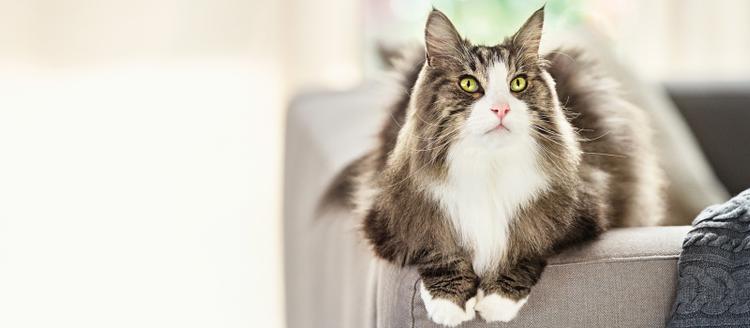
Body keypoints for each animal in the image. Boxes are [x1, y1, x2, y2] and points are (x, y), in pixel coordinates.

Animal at [322, 7, 664, 326]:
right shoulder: (391, 218)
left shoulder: (580, 210)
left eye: (518, 83)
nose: (501, 109)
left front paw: (497, 301)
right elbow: (438, 248)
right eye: (469, 83)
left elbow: (528, 244)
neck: (487, 166)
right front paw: (449, 304)